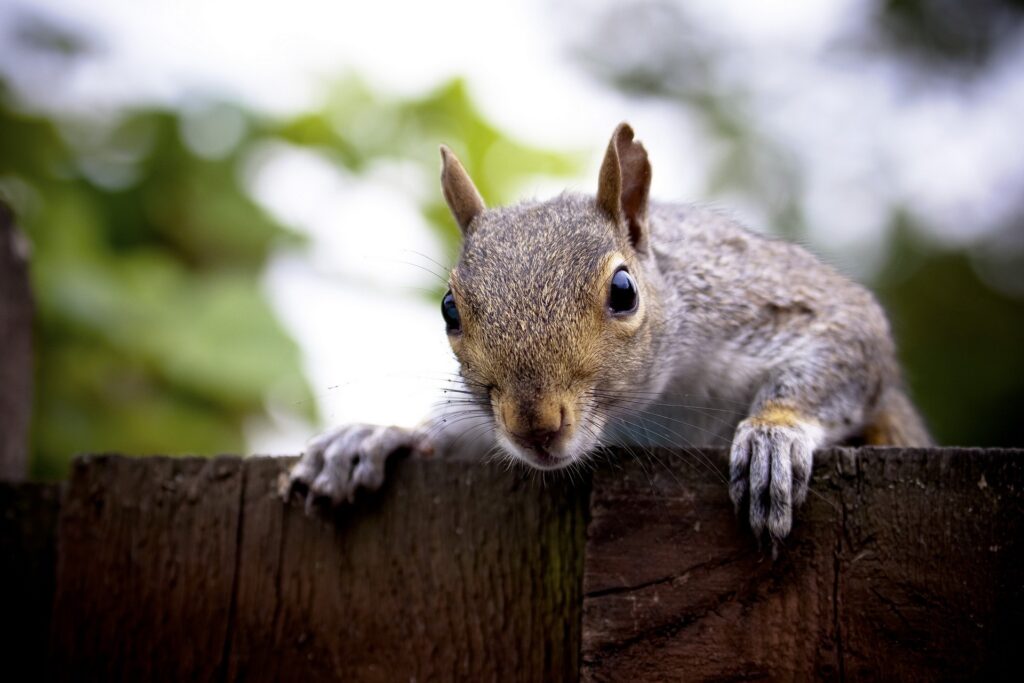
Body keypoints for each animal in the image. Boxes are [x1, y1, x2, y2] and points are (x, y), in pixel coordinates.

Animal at [286, 123, 932, 549]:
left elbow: (847, 337)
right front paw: (377, 436)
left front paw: (774, 435)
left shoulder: (765, 302)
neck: (646, 409)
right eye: (449, 310)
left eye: (624, 291)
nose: (535, 427)